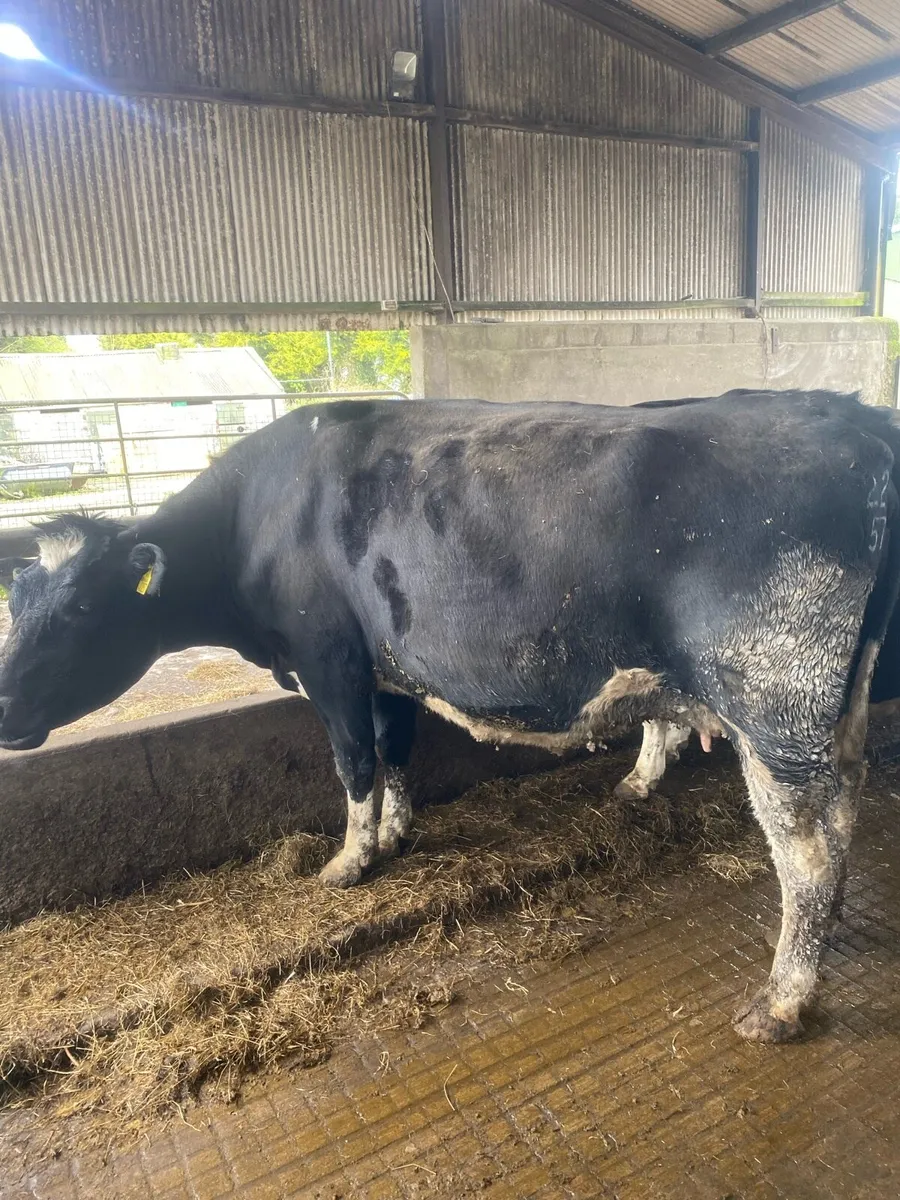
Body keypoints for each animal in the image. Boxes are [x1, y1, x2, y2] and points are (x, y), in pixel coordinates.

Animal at [1, 389, 898, 1045]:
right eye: (16, 600)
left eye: (80, 607)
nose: (4, 706)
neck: (258, 516)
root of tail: (850, 414)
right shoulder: (385, 668)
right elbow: (394, 751)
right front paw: (396, 833)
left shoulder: (329, 657)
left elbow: (353, 760)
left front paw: (348, 862)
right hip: (835, 706)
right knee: (845, 813)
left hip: (777, 705)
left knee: (808, 853)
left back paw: (781, 1002)